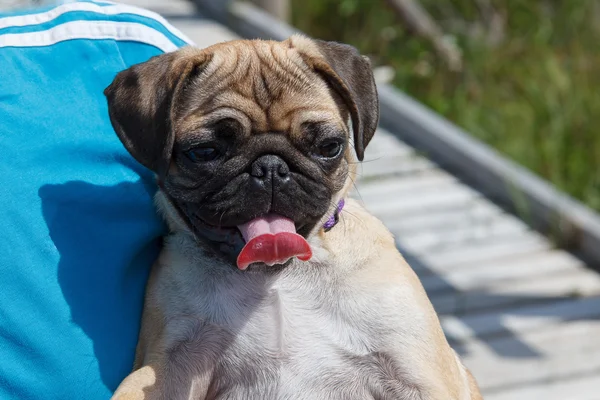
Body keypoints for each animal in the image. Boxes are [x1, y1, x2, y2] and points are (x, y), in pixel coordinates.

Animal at [104, 35, 482, 400]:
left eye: (329, 147)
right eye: (204, 152)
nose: (270, 167)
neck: (276, 276)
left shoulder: (417, 369)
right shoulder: (170, 364)